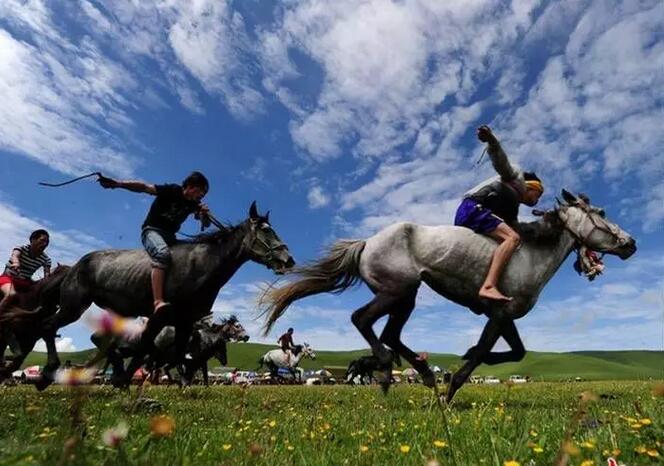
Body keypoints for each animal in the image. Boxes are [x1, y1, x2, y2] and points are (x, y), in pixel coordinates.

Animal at [38, 202, 294, 388]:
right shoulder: (160, 316)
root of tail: (74, 267)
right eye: (266, 230)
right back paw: (49, 374)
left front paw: (181, 385)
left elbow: (179, 358)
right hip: (73, 307)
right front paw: (124, 383)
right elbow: (146, 350)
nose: (288, 260)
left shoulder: (184, 322)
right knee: (49, 327)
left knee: (102, 343)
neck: (201, 265)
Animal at [258, 189, 632, 400]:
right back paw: (389, 370)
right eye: (601, 213)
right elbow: (481, 354)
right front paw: (452, 388)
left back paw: (421, 374)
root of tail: (366, 243)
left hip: (405, 297)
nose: (631, 244)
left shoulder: (503, 317)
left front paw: (459, 365)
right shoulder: (498, 316)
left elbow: (516, 352)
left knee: (390, 334)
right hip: (397, 292)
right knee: (362, 320)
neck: (530, 254)